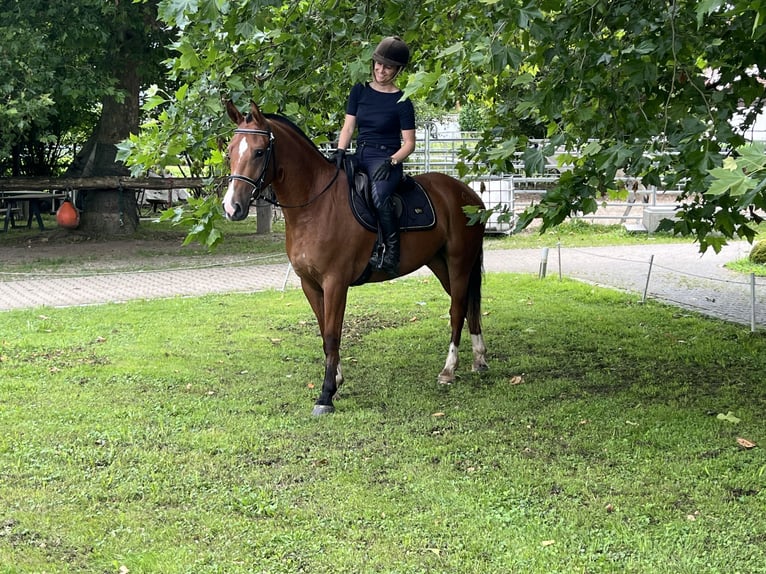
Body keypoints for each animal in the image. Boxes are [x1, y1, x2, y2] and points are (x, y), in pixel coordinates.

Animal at [222, 101, 488, 416]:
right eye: (230, 150)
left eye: (260, 152)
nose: (232, 207)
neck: (316, 204)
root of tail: (468, 194)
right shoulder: (310, 285)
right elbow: (324, 332)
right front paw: (336, 378)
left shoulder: (335, 283)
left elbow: (333, 334)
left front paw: (326, 394)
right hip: (440, 263)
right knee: (469, 306)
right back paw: (479, 359)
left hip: (460, 262)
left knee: (457, 309)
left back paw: (449, 370)